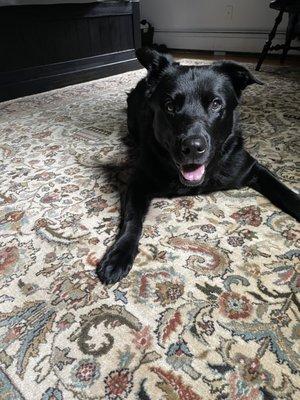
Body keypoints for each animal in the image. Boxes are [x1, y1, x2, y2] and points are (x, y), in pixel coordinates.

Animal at [96, 47, 300, 284]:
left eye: (216, 103)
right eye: (170, 106)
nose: (193, 147)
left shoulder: (250, 167)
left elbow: (284, 191)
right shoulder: (138, 182)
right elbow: (132, 219)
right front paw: (119, 254)